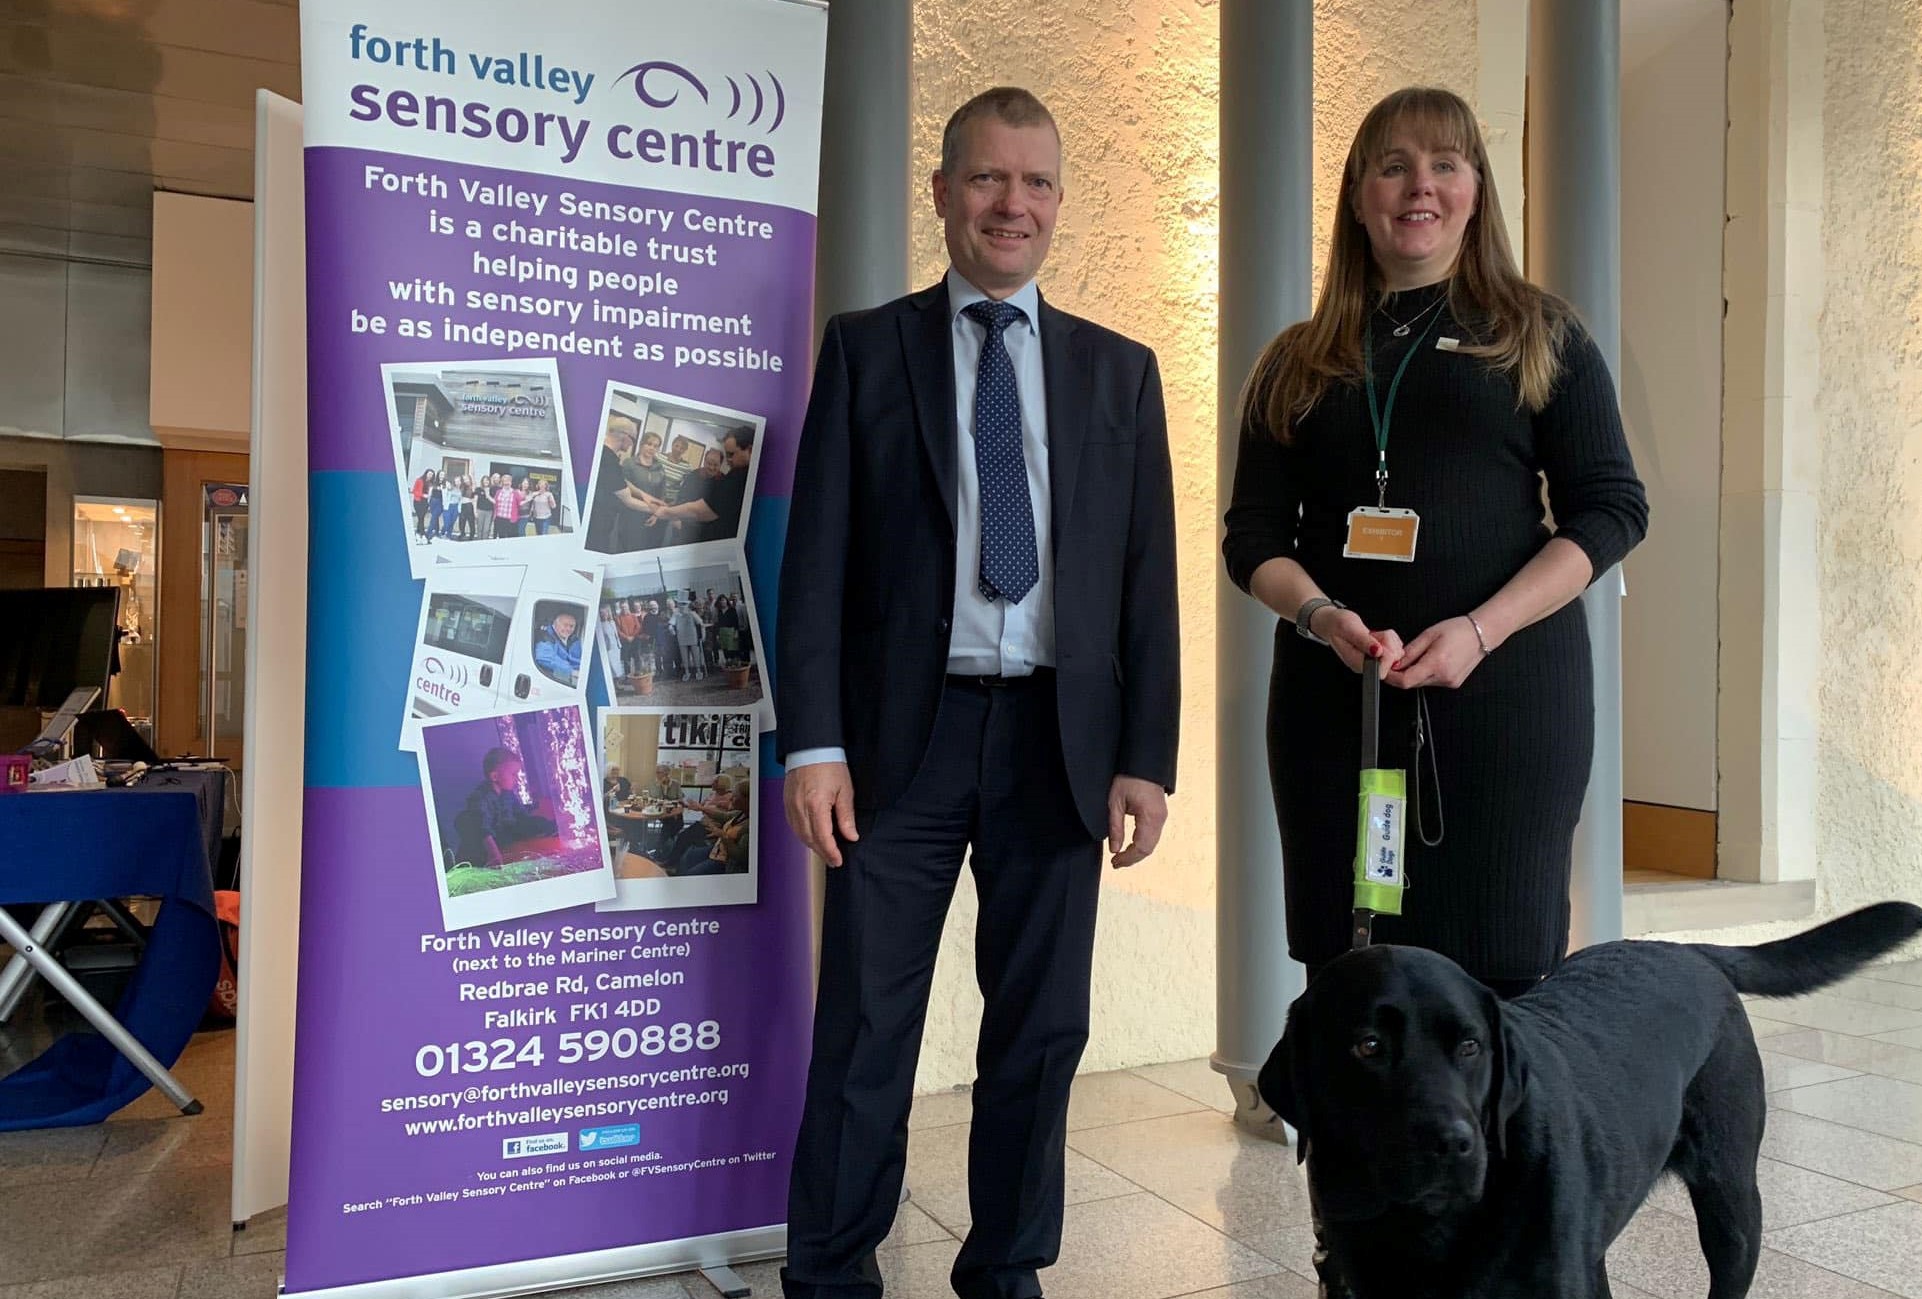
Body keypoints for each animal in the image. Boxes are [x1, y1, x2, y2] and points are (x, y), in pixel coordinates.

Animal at [1260, 903, 1922, 1299]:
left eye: (1470, 1045)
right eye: (1368, 1046)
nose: (1452, 1143)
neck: (1429, 1224)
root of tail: (1688, 950)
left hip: (1731, 1205)